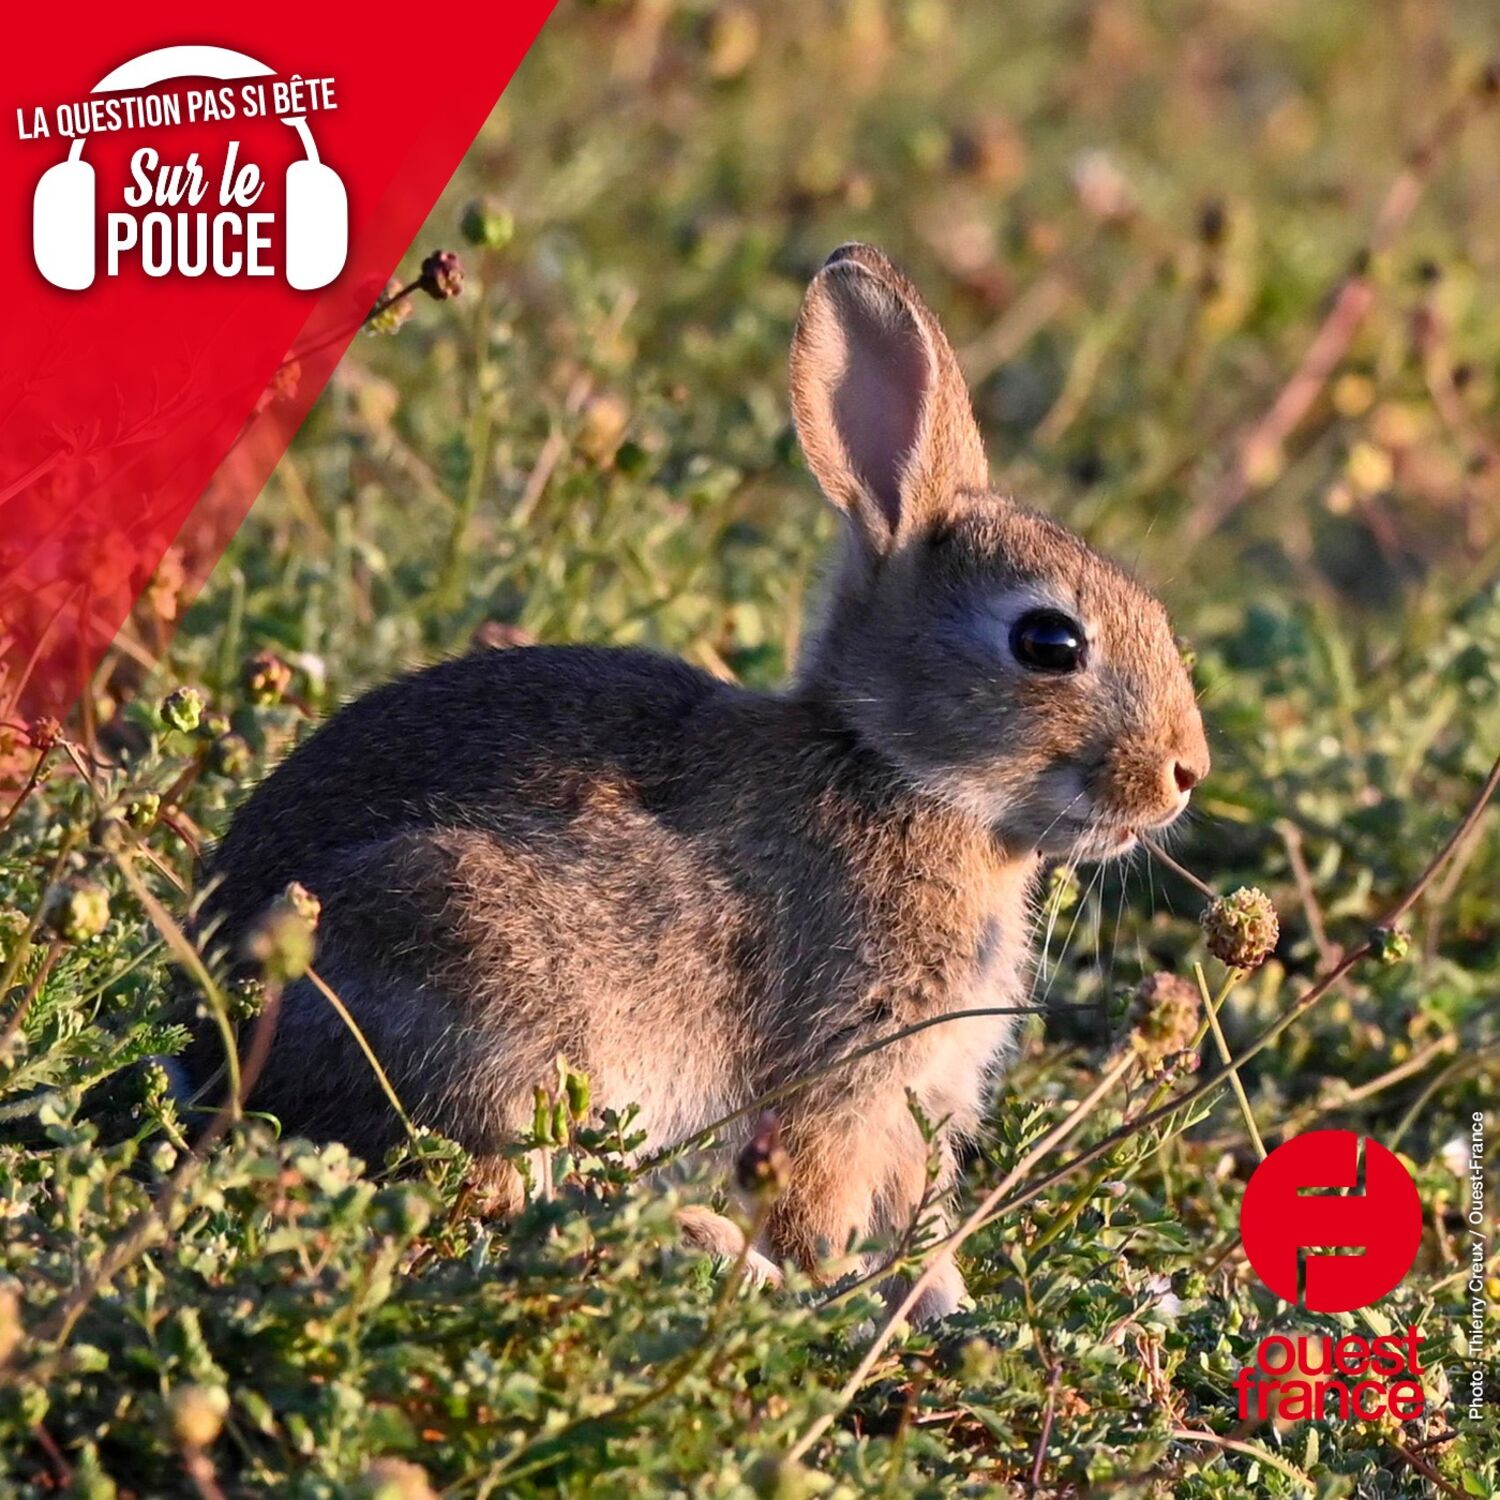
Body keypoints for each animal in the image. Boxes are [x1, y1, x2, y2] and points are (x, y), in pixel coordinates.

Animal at [190, 244, 1209, 1322]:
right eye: (1049, 642)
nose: (1186, 773)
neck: (900, 777)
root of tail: (207, 1034)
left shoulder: (921, 1094)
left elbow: (920, 1219)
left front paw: (942, 1305)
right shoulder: (838, 1071)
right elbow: (823, 1202)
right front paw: (834, 1290)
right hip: (478, 990)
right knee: (499, 1208)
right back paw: (720, 1254)